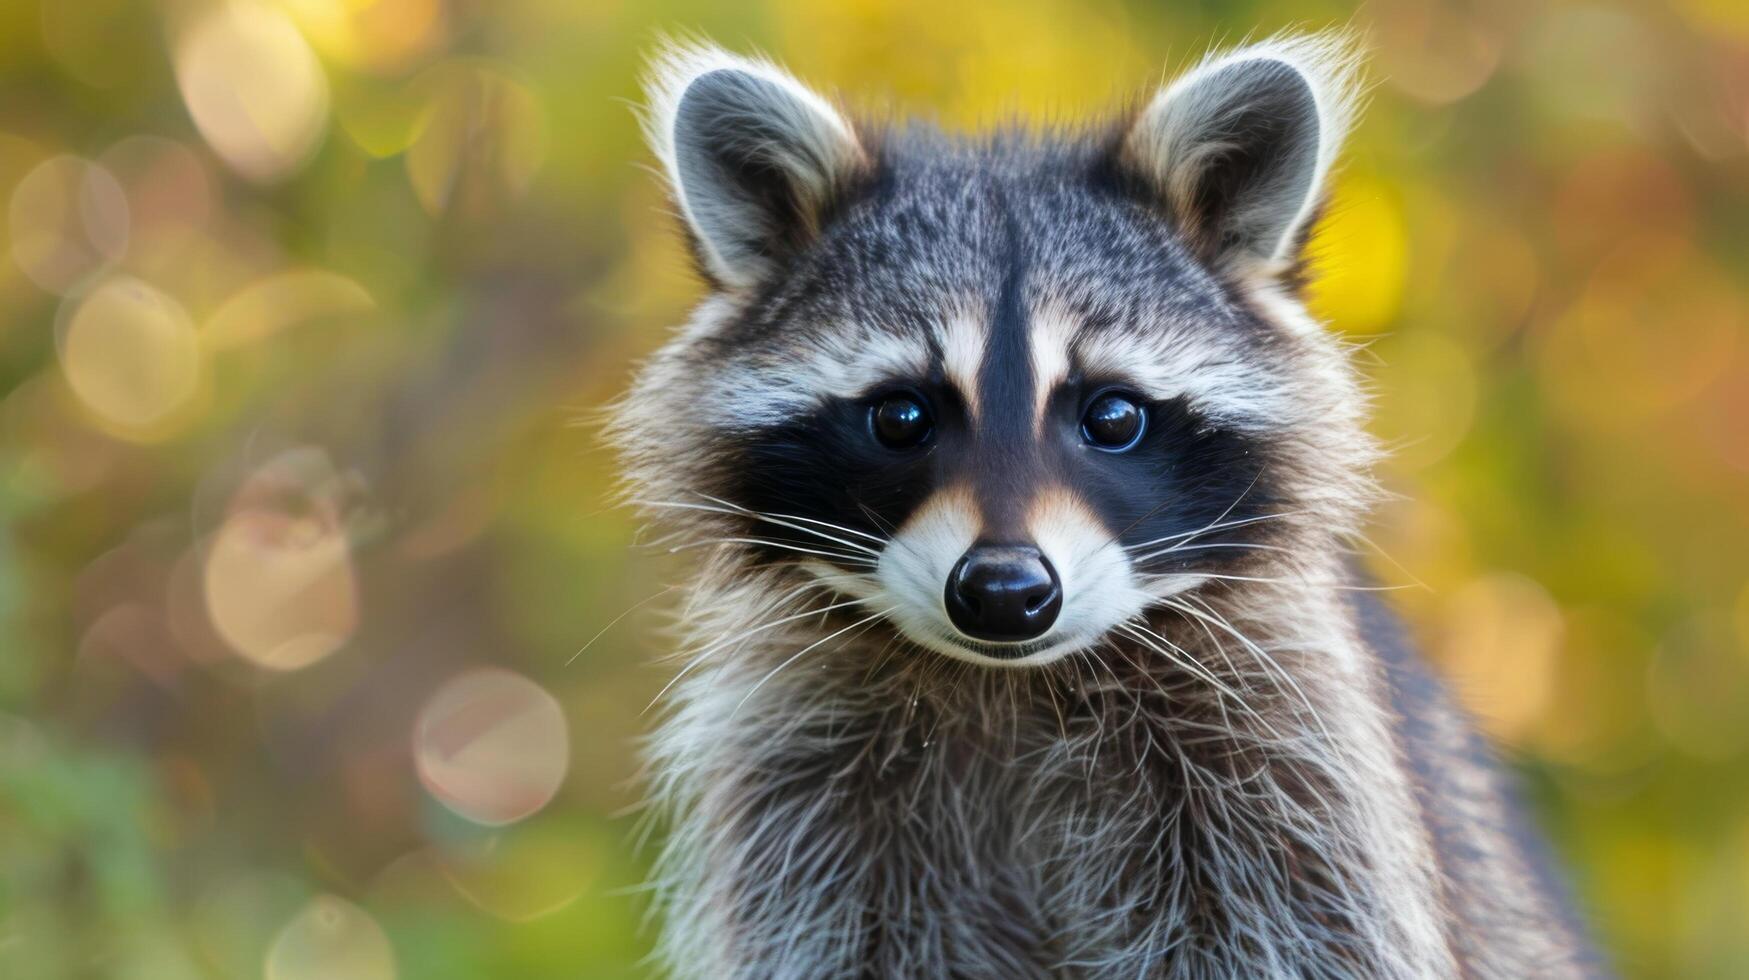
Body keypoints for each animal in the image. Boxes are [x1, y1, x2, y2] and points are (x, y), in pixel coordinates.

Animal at [612, 32, 1602, 980]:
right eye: (901, 417)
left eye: (1113, 416)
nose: (1003, 593)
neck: (1012, 684)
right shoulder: (807, 796)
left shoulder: (1292, 775)